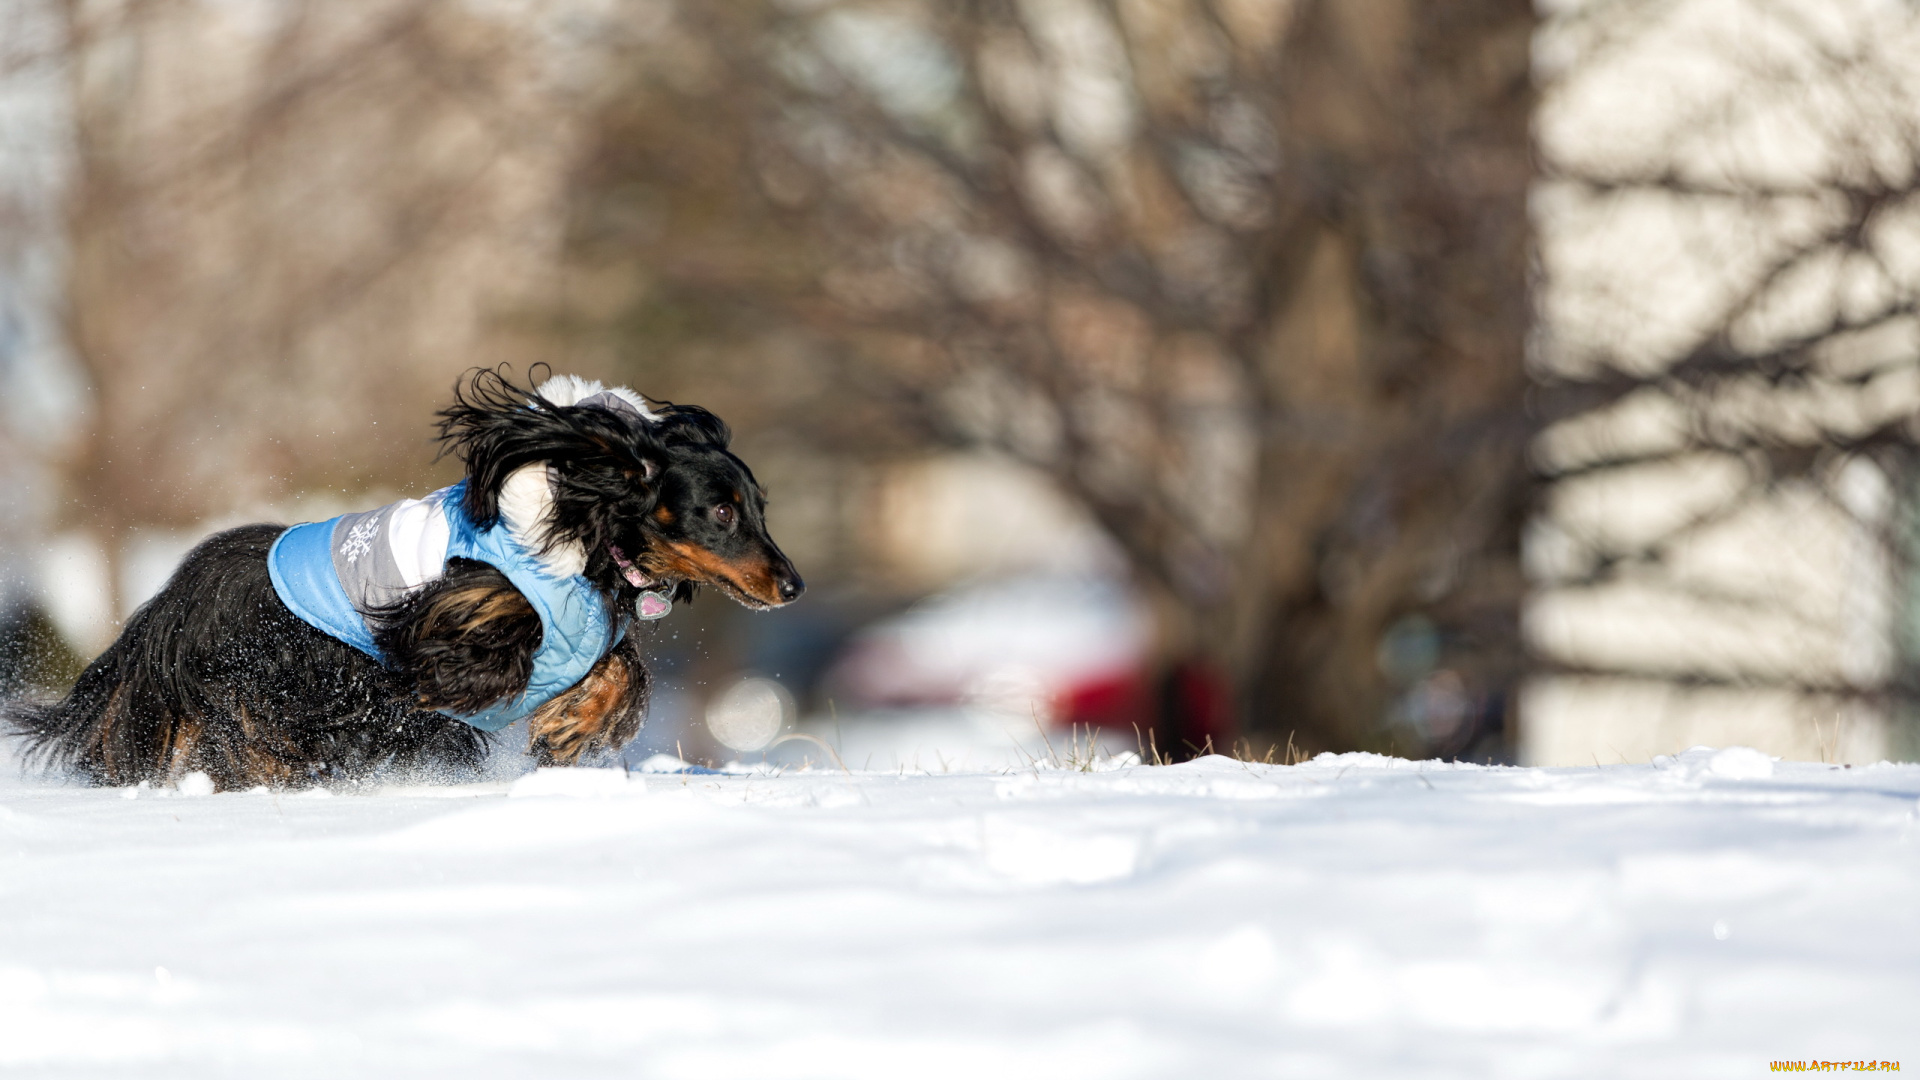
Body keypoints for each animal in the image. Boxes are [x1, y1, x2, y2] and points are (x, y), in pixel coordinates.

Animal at [3, 367, 798, 780]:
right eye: (720, 511)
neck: (584, 529)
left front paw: (576, 724)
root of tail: (169, 601)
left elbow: (622, 663)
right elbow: (470, 654)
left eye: (757, 506)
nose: (792, 585)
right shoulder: (451, 612)